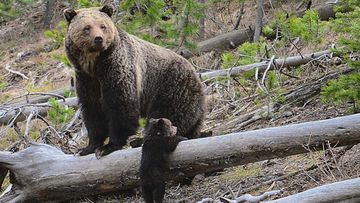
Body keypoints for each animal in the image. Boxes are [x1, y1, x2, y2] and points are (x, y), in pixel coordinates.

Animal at [63, 4, 205, 157]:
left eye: (102, 26)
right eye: (87, 27)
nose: (98, 39)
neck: (94, 65)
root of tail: (197, 75)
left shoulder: (117, 70)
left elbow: (121, 105)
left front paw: (109, 146)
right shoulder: (86, 79)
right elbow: (92, 110)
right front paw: (89, 147)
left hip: (172, 85)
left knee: (166, 115)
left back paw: (140, 140)